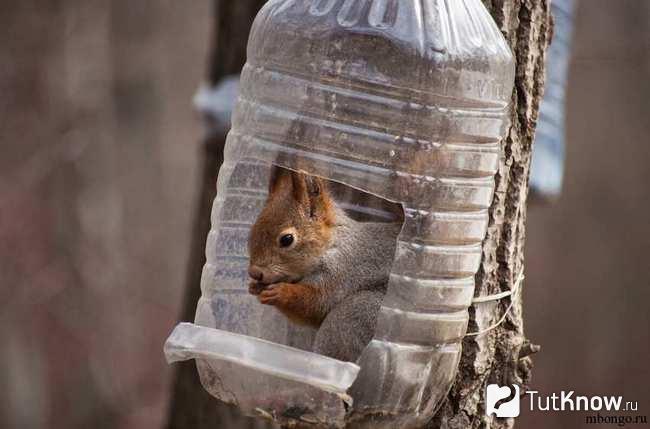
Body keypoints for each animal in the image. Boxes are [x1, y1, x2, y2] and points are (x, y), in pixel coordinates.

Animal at [247, 166, 401, 362]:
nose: (254, 273)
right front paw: (255, 287)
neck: (333, 245)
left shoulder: (343, 273)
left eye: (287, 239)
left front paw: (281, 292)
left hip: (354, 316)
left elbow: (316, 303)